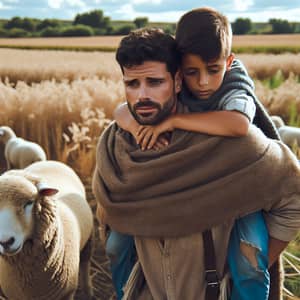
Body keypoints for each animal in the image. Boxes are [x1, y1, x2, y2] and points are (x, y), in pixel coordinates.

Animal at [0, 161, 94, 298]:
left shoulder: (67, 293)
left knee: (85, 263)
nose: (6, 242)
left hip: (89, 239)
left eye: (29, 202)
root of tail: (51, 161)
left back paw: (88, 291)